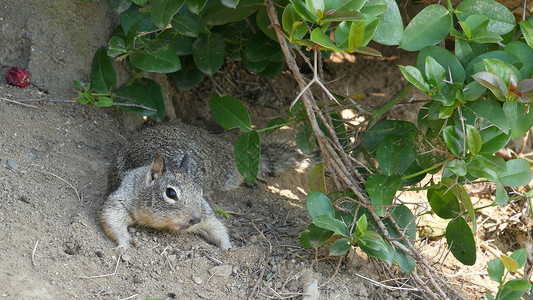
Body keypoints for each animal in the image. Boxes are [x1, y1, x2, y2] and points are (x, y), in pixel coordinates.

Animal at [101, 121, 312, 251]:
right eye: (171, 193)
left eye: (199, 191)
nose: (195, 219)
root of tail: (219, 147)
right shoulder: (123, 196)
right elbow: (110, 217)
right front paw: (125, 243)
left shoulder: (205, 209)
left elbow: (214, 224)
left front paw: (226, 245)